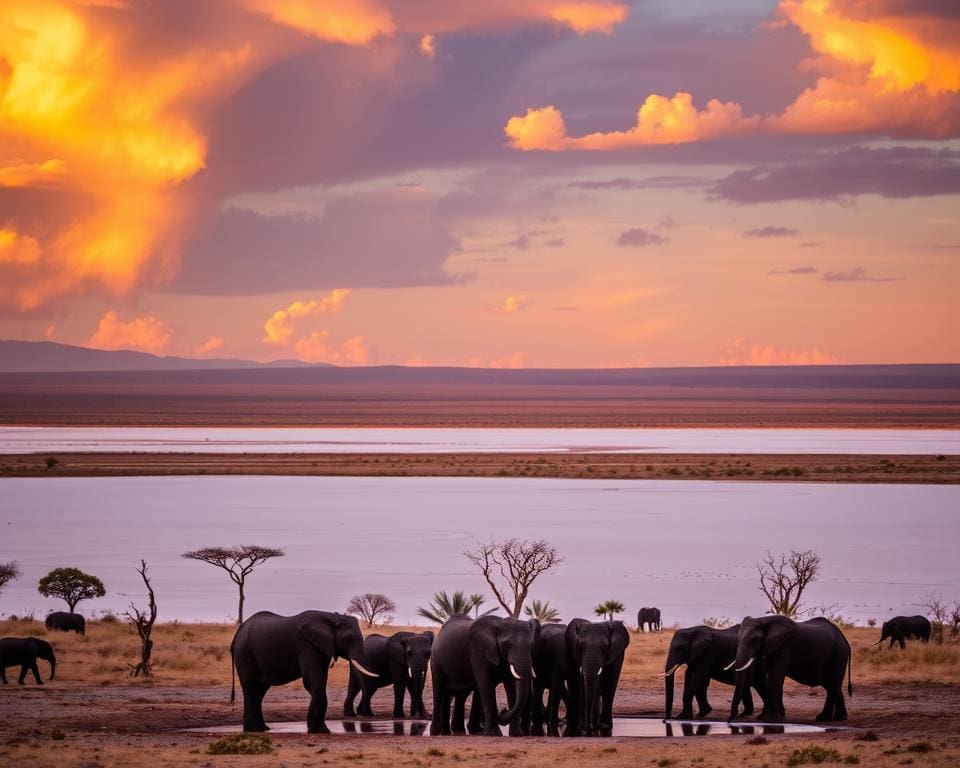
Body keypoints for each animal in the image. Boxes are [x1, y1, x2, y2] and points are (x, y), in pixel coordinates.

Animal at [232, 612, 378, 732]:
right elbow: (311, 681)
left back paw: (261, 729)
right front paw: (321, 731)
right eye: (349, 638)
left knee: (260, 691)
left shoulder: (322, 646)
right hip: (244, 655)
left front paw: (318, 729)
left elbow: (320, 679)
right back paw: (253, 730)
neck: (331, 617)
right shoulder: (308, 646)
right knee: (251, 688)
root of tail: (237, 635)